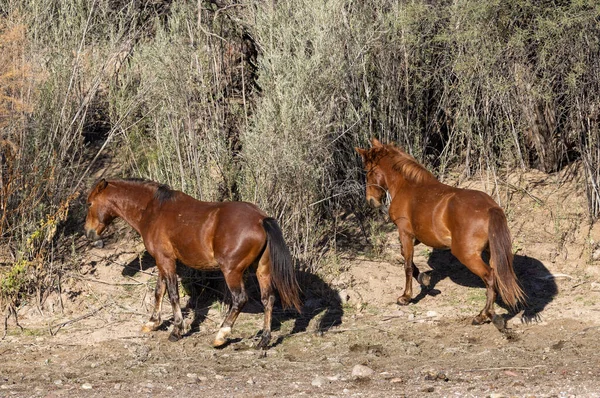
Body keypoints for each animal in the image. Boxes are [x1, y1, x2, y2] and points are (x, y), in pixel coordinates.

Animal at [84, 178, 300, 348]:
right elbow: (159, 291)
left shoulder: (166, 261)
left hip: (232, 271)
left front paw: (177, 330)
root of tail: (261, 219)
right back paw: (263, 340)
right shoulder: (162, 260)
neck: (153, 210)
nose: (88, 233)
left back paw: (221, 336)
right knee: (268, 299)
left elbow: (172, 295)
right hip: (262, 269)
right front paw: (153, 322)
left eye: (89, 203)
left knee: (240, 299)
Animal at [356, 138, 524, 332]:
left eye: (368, 171)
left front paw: (406, 296)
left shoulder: (405, 232)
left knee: (489, 277)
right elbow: (406, 258)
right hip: (491, 252)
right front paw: (424, 279)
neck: (408, 186)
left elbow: (407, 265)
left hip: (467, 254)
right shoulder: (413, 237)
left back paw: (484, 316)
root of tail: (490, 207)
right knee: (496, 276)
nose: (371, 201)